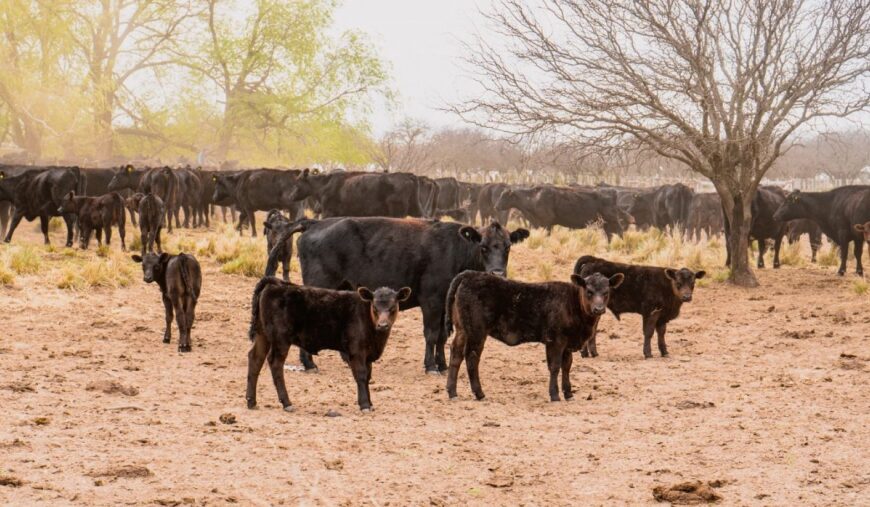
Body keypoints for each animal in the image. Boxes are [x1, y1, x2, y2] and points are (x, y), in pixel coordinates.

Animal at [245, 278, 408, 412]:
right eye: (374, 307)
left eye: (393, 307)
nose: (383, 325)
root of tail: (275, 283)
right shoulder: (356, 351)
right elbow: (361, 375)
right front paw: (365, 405)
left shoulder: (368, 354)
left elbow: (368, 376)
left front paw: (370, 403)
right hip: (281, 339)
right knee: (275, 364)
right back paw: (287, 403)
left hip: (263, 334)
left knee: (255, 358)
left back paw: (251, 401)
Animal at [264, 218, 532, 374]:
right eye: (483, 246)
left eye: (508, 246)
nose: (497, 273)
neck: (455, 249)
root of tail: (315, 222)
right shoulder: (431, 300)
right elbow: (431, 334)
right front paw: (431, 366)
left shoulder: (444, 303)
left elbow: (442, 336)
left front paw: (443, 365)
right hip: (319, 284)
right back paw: (309, 364)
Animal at [446, 272, 624, 402]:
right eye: (589, 291)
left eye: (606, 292)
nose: (598, 308)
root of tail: (469, 274)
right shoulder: (555, 340)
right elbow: (555, 366)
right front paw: (555, 395)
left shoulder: (567, 344)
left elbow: (567, 366)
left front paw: (568, 393)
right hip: (477, 331)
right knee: (471, 358)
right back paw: (479, 393)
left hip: (462, 330)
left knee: (456, 355)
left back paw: (452, 392)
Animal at [576, 256, 704, 360]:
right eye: (678, 283)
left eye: (693, 283)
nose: (687, 297)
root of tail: (595, 260)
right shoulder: (650, 311)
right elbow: (649, 332)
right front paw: (648, 354)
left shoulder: (662, 315)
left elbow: (661, 333)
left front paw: (664, 352)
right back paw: (586, 353)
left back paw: (592, 353)